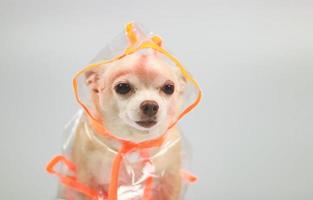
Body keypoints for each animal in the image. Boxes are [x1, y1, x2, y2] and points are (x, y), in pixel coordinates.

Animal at [58, 49, 185, 198]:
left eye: (169, 88)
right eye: (122, 87)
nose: (150, 105)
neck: (134, 143)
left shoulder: (170, 178)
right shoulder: (87, 180)